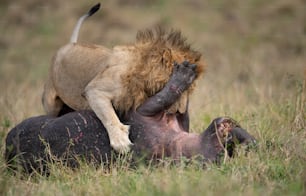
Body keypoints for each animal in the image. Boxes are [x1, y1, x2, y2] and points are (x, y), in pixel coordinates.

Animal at [41, 2, 206, 153]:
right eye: (187, 88)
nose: (180, 112)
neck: (141, 70)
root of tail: (70, 44)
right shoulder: (94, 90)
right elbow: (109, 116)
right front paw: (120, 141)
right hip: (51, 102)